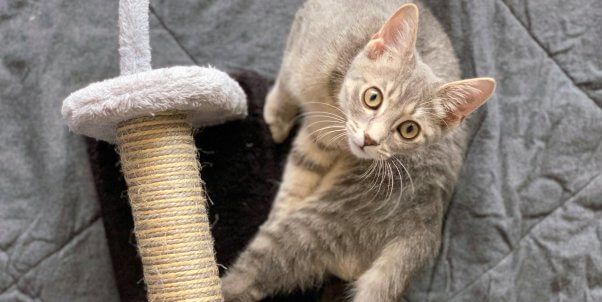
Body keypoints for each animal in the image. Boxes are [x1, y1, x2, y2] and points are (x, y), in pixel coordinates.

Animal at [220, 1, 492, 300]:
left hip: (312, 228)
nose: (370, 140)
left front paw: (276, 115)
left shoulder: (320, 136)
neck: (331, 101)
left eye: (409, 129)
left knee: (245, 282)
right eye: (373, 97)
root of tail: (424, 226)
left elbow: (297, 169)